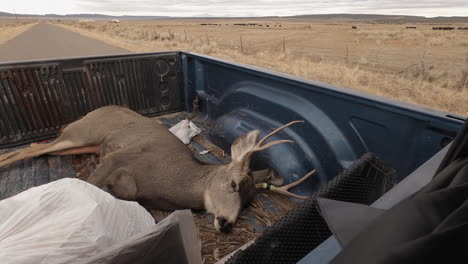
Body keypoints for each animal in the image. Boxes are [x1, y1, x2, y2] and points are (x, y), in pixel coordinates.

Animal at [0, 105, 314, 233]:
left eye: (249, 204)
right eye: (233, 184)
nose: (226, 224)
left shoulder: (132, 189)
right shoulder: (117, 158)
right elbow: (92, 186)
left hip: (81, 145)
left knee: (36, 147)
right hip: (83, 134)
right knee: (31, 149)